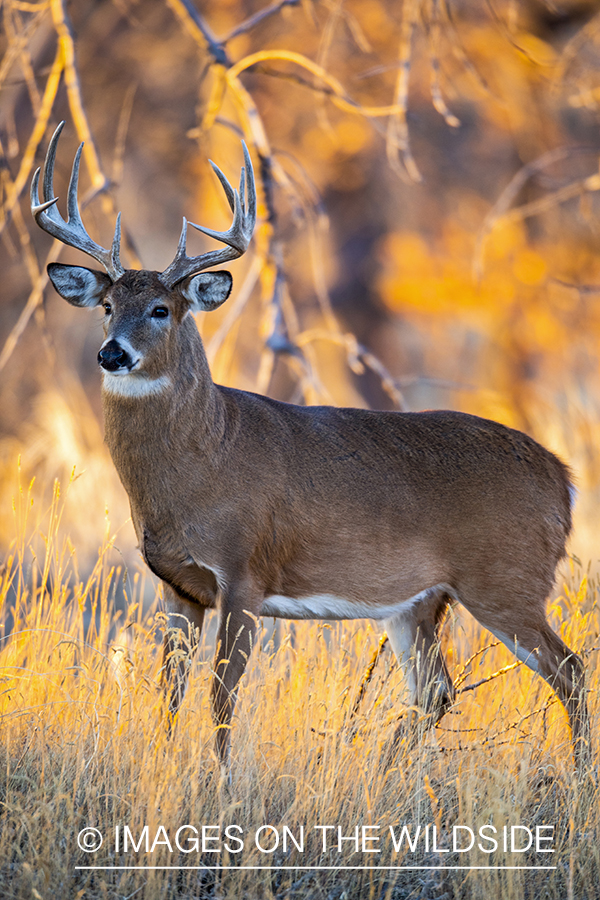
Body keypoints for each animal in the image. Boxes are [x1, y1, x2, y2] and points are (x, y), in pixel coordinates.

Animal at [32, 121, 592, 772]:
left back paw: (576, 776)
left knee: (569, 669)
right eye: (106, 305)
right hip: (419, 602)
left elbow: (222, 693)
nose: (112, 353)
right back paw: (381, 770)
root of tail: (564, 479)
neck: (205, 458)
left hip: (506, 577)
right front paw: (164, 765)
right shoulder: (176, 583)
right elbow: (169, 689)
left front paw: (222, 778)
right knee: (437, 691)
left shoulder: (244, 571)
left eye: (162, 309)